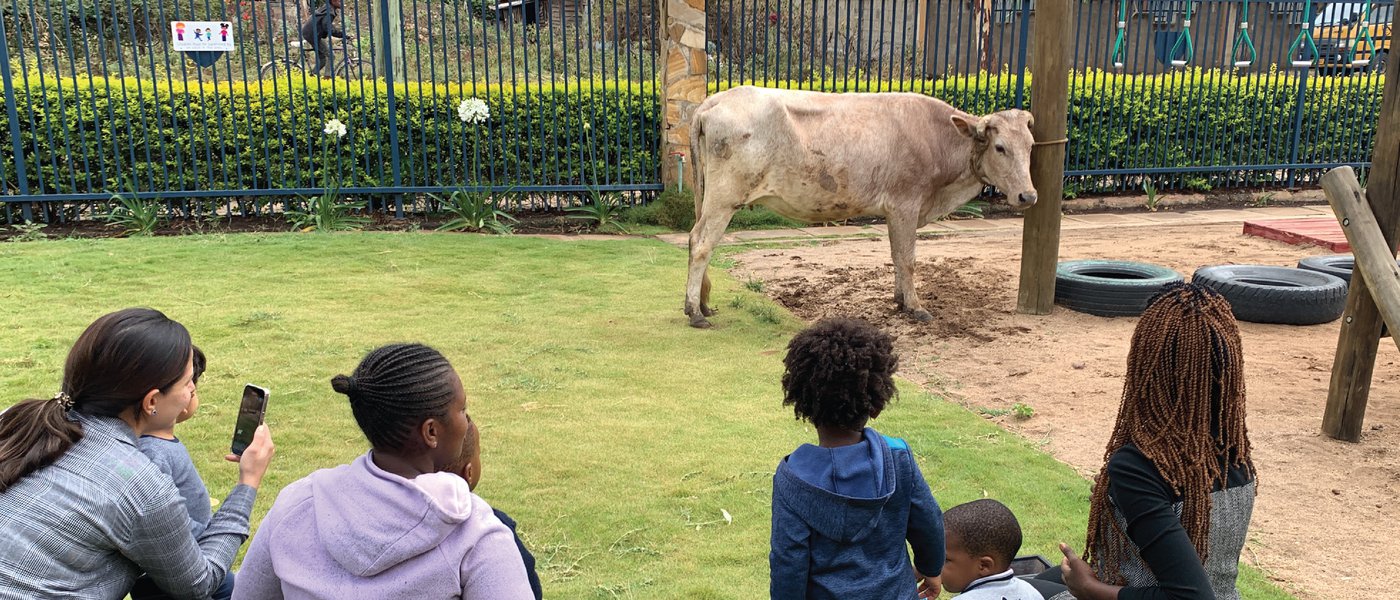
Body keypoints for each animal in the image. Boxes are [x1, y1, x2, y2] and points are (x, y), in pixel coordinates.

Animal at [683, 85, 1036, 327]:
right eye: (1000, 147)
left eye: (1031, 145)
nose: (1028, 196)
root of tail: (713, 102)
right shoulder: (905, 204)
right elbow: (907, 258)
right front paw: (916, 307)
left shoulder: (896, 211)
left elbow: (896, 256)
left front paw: (900, 300)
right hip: (724, 199)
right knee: (701, 244)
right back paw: (695, 312)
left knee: (694, 239)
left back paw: (702, 305)